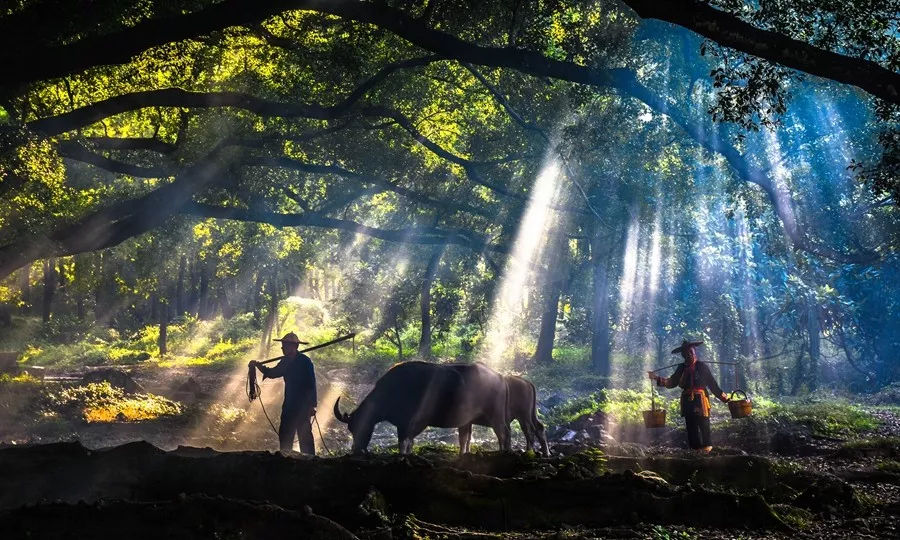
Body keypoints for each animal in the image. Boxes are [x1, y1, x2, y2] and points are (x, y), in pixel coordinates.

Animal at [334, 360, 510, 454]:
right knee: (468, 438)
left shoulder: (405, 423)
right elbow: (410, 443)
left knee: (503, 433)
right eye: (350, 428)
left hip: (495, 415)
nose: (356, 449)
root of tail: (500, 377)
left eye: (361, 426)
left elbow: (403, 443)